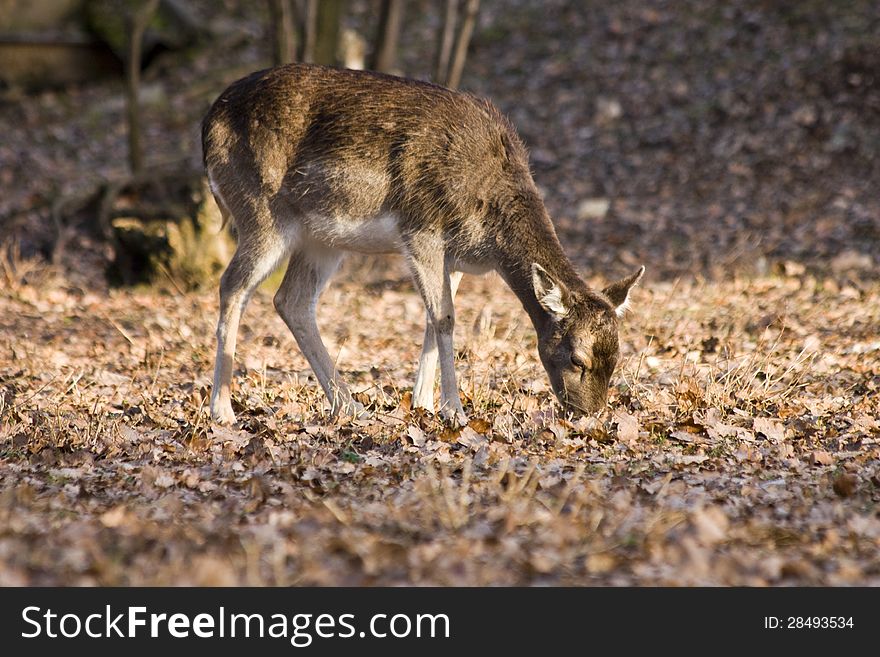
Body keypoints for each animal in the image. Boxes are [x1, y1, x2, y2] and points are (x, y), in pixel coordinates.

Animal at [203, 62, 644, 426]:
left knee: (291, 300)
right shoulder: (422, 229)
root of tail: (207, 127)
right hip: (261, 211)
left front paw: (424, 404)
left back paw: (350, 406)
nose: (589, 415)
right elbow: (445, 318)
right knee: (232, 285)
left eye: (617, 358)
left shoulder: (455, 258)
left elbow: (434, 319)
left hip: (321, 239)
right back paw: (222, 410)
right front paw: (455, 411)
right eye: (577, 359)